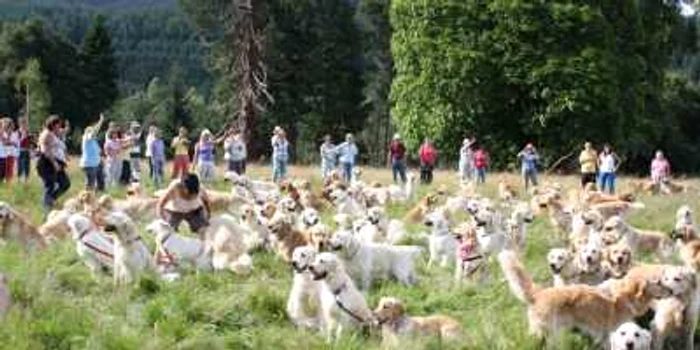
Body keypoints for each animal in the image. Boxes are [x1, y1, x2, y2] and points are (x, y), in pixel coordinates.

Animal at [500, 250, 668, 346]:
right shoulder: (613, 333)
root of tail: (539, 293)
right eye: (658, 282)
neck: (626, 295)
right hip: (547, 334)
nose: (671, 291)